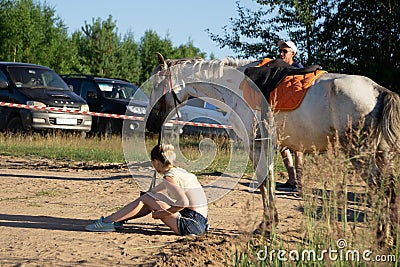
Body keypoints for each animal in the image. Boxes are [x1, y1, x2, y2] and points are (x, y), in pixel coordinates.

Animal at [146, 54, 400, 245]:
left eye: (156, 85)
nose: (151, 124)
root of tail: (379, 91)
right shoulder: (267, 145)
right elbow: (267, 182)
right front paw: (269, 224)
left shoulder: (256, 145)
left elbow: (263, 182)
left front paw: (267, 226)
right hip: (382, 154)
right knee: (390, 190)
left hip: (361, 155)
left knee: (382, 190)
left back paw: (381, 237)